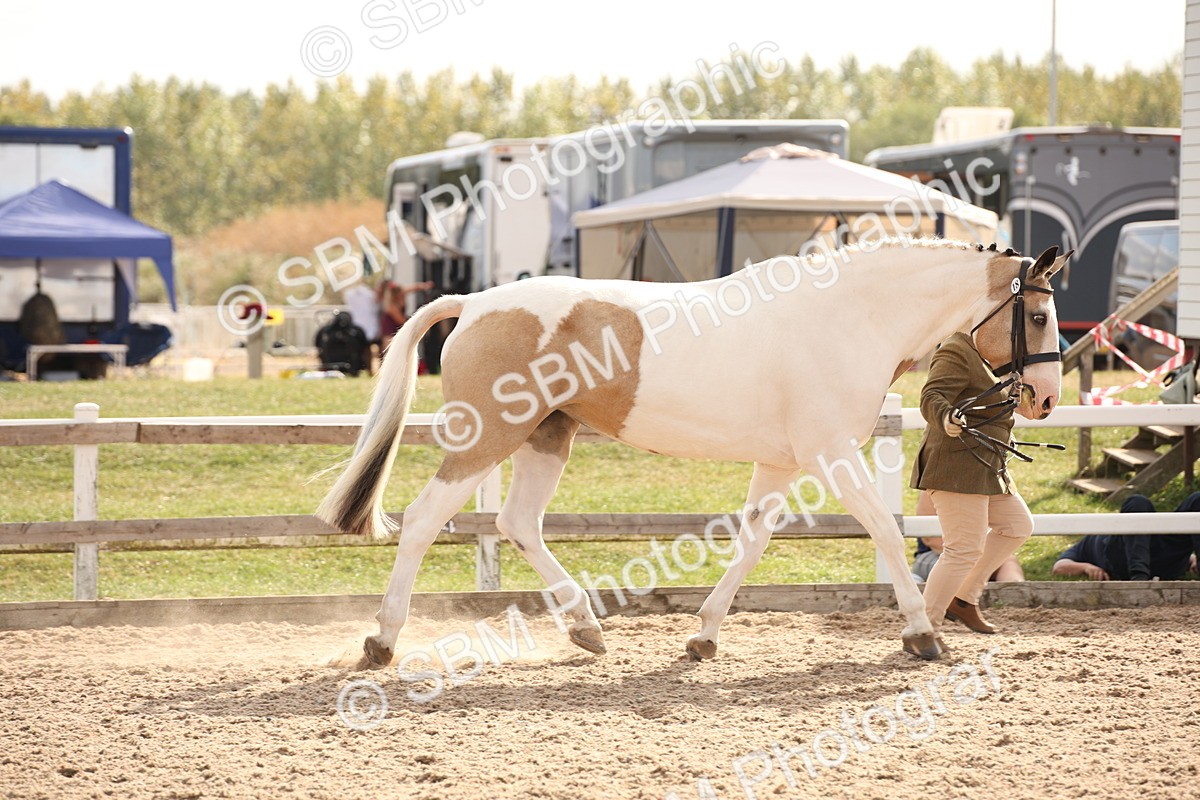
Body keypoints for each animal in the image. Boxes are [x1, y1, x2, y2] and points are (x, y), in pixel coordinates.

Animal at [316, 237, 1070, 665]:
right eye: (1036, 314)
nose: (1044, 397)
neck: (851, 318)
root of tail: (472, 303)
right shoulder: (829, 453)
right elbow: (884, 529)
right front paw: (922, 634)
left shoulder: (783, 462)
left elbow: (752, 542)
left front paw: (704, 636)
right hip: (487, 439)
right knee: (423, 522)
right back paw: (382, 642)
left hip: (546, 437)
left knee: (518, 522)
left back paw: (586, 630)